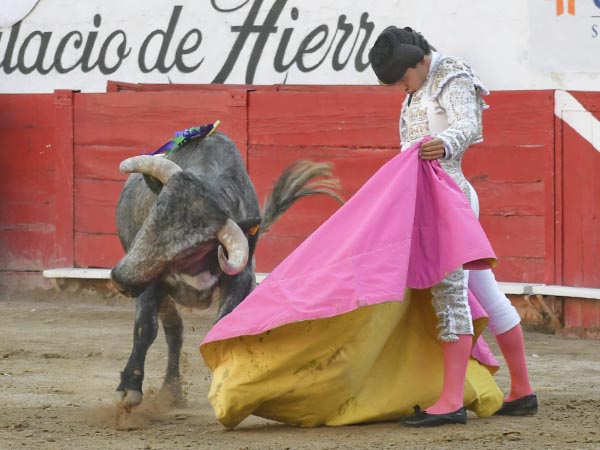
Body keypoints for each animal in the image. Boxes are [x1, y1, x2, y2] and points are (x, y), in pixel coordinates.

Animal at [109, 130, 340, 412]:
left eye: (192, 249)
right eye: (155, 211)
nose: (120, 279)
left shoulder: (241, 278)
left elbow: (222, 327)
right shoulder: (150, 279)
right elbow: (145, 328)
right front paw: (128, 389)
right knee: (173, 330)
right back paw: (171, 391)